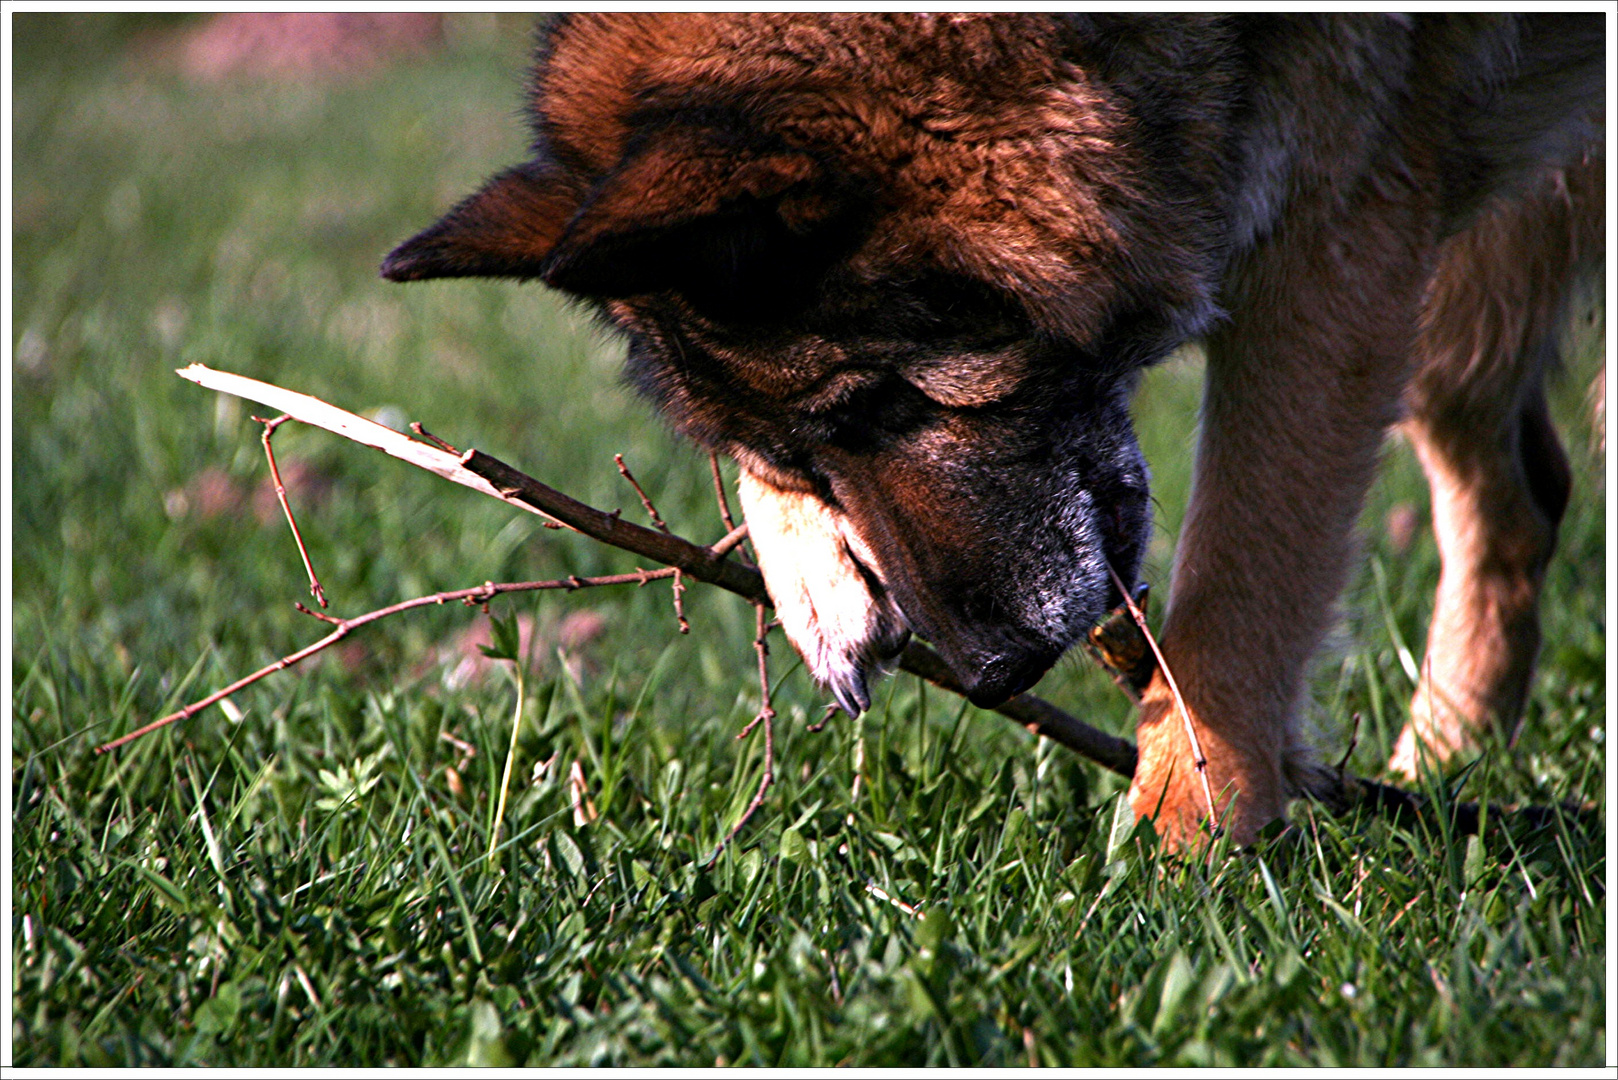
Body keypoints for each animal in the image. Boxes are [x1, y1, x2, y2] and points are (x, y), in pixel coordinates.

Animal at [381, 12, 1605, 848]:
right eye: (799, 454)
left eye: (886, 402)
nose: (990, 677)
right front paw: (813, 575)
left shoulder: (1338, 237)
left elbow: (1241, 576)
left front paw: (1186, 828)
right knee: (1523, 496)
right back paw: (1445, 760)